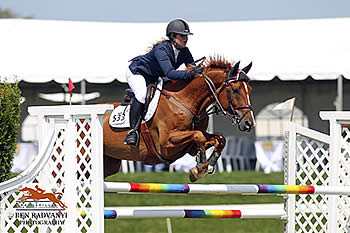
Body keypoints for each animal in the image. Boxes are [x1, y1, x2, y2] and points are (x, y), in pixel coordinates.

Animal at [102, 57, 256, 182]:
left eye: (250, 89)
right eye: (235, 90)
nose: (249, 123)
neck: (186, 101)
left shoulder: (190, 147)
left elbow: (219, 139)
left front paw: (207, 166)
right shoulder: (166, 144)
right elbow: (198, 135)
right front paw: (200, 168)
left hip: (110, 163)